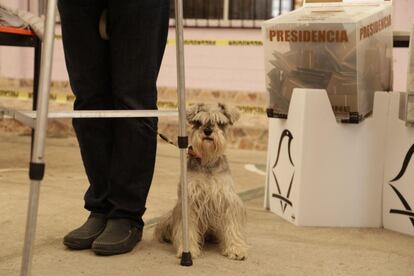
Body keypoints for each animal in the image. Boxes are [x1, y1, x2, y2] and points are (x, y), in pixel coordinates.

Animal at [154, 102, 246, 260]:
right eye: (199, 122)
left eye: (220, 122)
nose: (208, 131)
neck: (207, 161)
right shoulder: (189, 201)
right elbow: (188, 228)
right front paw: (188, 249)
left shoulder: (227, 199)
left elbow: (232, 225)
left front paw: (235, 248)